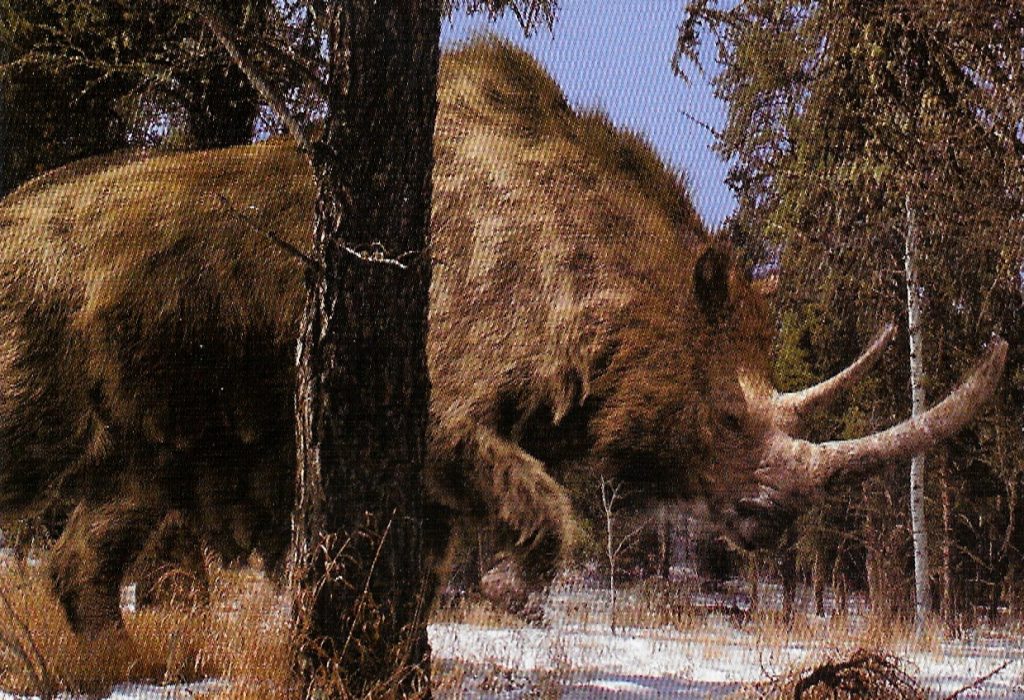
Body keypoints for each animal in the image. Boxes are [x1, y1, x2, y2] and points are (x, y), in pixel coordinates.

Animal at [0, 39, 1007, 635]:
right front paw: (512, 597)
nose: (768, 523)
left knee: (103, 528)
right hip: (32, 331)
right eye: (723, 416)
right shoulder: (440, 401)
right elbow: (545, 502)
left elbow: (434, 559)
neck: (618, 285)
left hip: (143, 430)